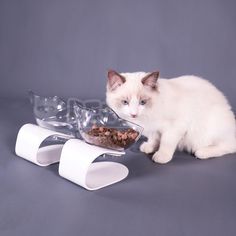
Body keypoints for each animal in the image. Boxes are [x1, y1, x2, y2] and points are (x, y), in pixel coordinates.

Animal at [106, 69, 236, 163]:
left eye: (142, 102)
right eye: (125, 102)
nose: (133, 114)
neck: (148, 115)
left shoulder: (175, 127)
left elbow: (166, 142)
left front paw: (161, 156)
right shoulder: (154, 128)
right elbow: (154, 139)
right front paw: (149, 148)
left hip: (208, 129)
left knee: (229, 146)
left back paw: (201, 152)